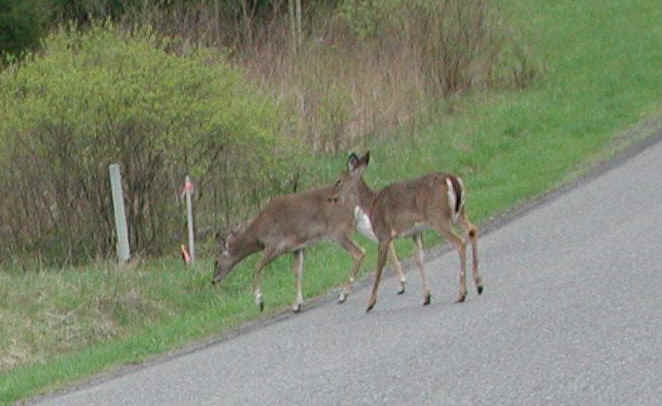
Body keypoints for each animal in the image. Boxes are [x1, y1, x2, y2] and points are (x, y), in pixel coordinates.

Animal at [211, 182, 409, 313]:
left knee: (359, 253)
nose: (213, 280)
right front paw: (297, 304)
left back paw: (343, 295)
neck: (259, 233)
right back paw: (401, 284)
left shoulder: (275, 244)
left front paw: (259, 301)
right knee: (385, 241)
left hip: (338, 230)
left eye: (216, 261)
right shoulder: (297, 247)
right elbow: (298, 272)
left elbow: (257, 267)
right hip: (360, 222)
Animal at [329, 152, 483, 312]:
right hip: (459, 214)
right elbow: (419, 259)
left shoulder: (384, 234)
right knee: (472, 230)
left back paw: (462, 293)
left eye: (338, 181)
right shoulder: (416, 232)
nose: (331, 197)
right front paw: (426, 297)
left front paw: (370, 303)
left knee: (460, 243)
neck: (371, 205)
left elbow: (379, 267)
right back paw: (479, 285)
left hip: (438, 218)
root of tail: (452, 179)